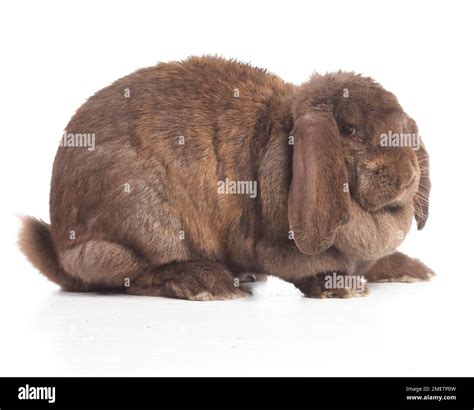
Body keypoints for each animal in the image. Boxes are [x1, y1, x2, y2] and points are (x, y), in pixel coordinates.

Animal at [18, 56, 434, 300]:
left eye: (404, 129)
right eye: (348, 129)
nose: (407, 177)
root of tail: (61, 245)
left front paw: (413, 270)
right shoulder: (268, 244)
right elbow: (303, 267)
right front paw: (340, 286)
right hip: (139, 219)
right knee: (128, 274)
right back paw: (208, 282)